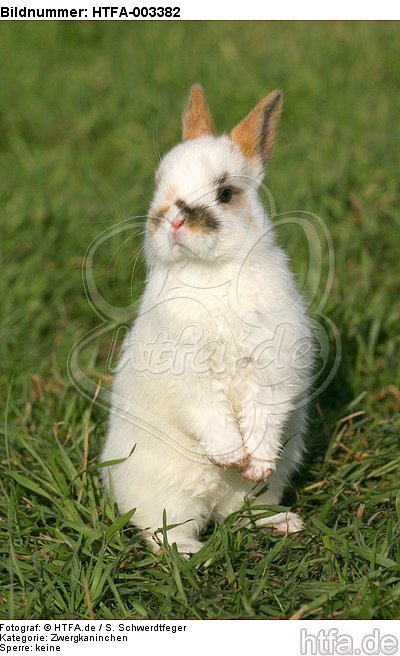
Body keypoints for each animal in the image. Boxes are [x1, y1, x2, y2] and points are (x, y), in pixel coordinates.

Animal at [101, 84, 314, 555]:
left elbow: (262, 413)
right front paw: (231, 455)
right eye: (159, 183)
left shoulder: (273, 361)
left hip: (266, 486)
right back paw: (194, 554)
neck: (211, 274)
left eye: (225, 193)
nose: (175, 220)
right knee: (161, 531)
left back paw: (283, 523)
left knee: (242, 513)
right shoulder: (189, 371)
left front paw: (253, 462)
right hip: (167, 495)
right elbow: (209, 413)